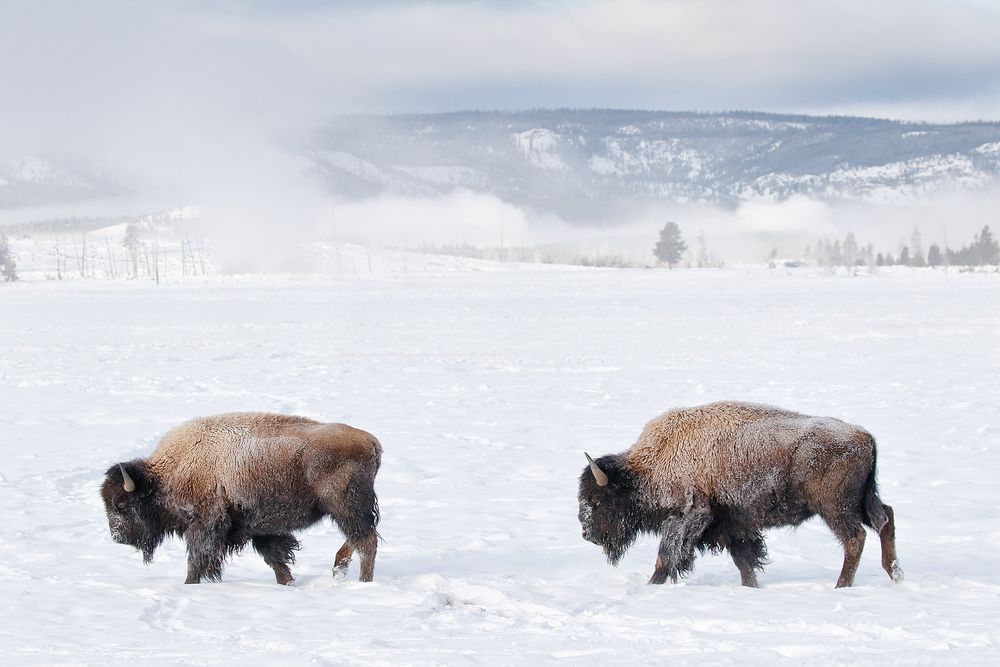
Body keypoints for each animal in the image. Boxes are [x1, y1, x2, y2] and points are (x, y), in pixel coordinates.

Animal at [101, 412, 382, 584]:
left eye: (122, 504)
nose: (117, 537)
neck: (169, 471)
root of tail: (371, 443)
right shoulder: (261, 529)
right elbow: (275, 559)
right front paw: (288, 583)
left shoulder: (205, 525)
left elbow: (196, 559)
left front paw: (188, 584)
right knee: (358, 538)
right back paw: (339, 571)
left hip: (344, 506)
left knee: (366, 540)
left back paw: (362, 582)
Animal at [578, 401, 902, 588]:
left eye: (598, 500)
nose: (586, 534)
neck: (648, 467)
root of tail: (864, 436)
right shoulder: (733, 524)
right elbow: (743, 560)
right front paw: (751, 586)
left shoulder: (688, 515)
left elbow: (665, 555)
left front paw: (653, 584)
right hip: (863, 499)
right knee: (885, 518)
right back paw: (894, 574)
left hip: (835, 507)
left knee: (855, 537)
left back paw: (842, 585)